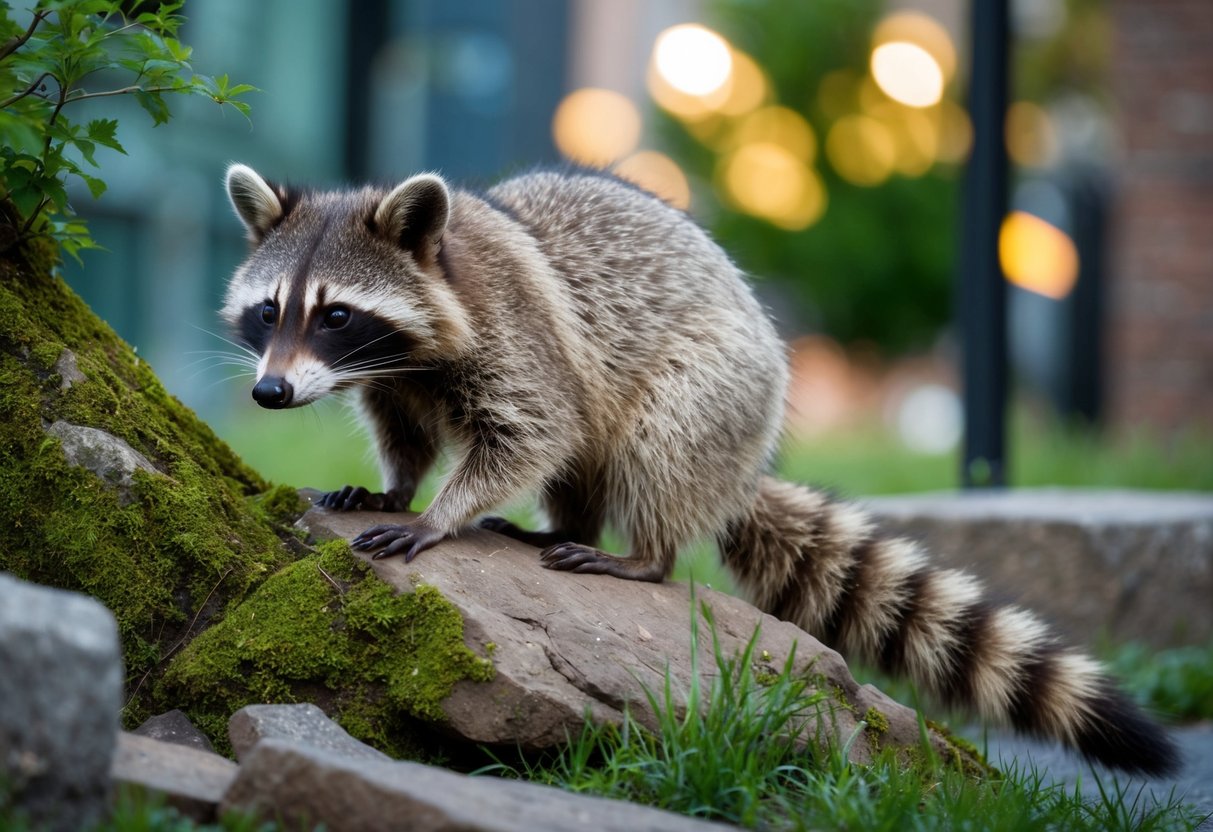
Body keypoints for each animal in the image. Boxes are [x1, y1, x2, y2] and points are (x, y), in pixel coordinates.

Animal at [221, 163, 1178, 776]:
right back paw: (565, 521)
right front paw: (397, 482)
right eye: (269, 311)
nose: (268, 393)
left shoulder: (513, 334)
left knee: (652, 443)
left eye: (336, 314)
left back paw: (639, 552)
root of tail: (744, 464)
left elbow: (532, 428)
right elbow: (409, 430)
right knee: (588, 462)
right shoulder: (395, 378)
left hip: (721, 384)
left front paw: (437, 514)